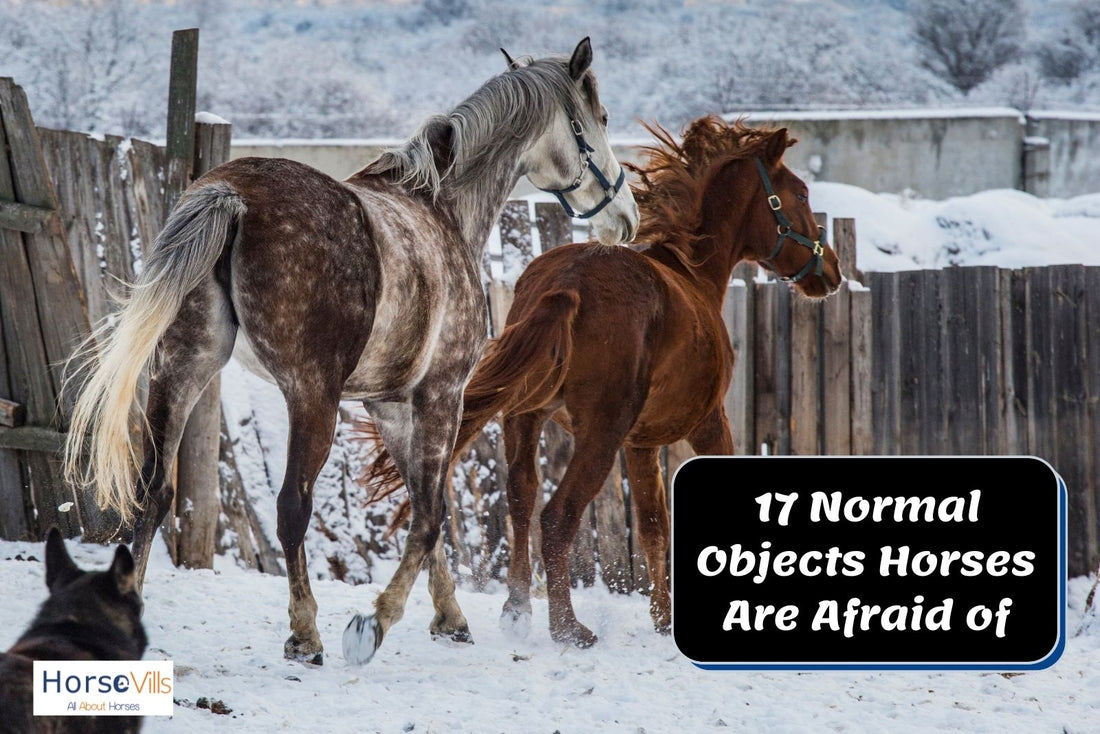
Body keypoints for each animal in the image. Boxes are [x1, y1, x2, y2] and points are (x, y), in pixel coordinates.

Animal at [62, 38, 639, 668]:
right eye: (601, 118)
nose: (625, 217)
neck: (441, 208)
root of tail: (232, 195)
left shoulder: (389, 406)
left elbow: (423, 504)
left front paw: (450, 618)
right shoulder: (441, 395)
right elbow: (430, 514)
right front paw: (374, 623)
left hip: (183, 368)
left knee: (153, 493)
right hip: (311, 396)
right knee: (292, 507)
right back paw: (305, 633)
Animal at [361, 116, 842, 647]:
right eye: (800, 193)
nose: (832, 271)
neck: (692, 274)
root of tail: (568, 283)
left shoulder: (641, 442)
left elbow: (652, 524)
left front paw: (663, 618)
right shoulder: (706, 424)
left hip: (526, 417)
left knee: (522, 499)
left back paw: (518, 610)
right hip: (600, 433)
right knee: (557, 515)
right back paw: (568, 628)